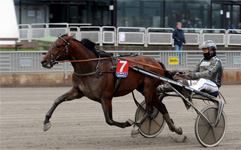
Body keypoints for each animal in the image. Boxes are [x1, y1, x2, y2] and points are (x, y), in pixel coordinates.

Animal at [40, 34, 182, 135]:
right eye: (52, 44)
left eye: (58, 46)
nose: (44, 61)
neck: (92, 67)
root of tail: (156, 62)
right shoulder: (78, 91)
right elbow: (58, 100)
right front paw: (46, 122)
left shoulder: (106, 97)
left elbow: (109, 120)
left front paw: (128, 123)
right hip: (145, 89)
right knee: (161, 107)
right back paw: (176, 129)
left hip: (148, 88)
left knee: (149, 110)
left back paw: (137, 127)